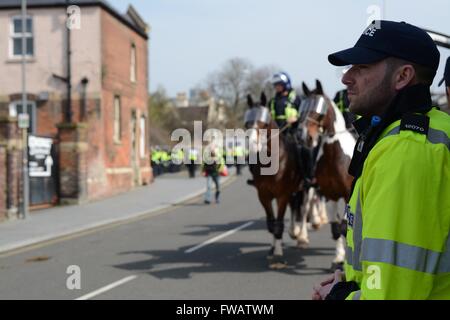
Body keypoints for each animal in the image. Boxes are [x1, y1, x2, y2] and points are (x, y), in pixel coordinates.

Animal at [244, 93, 304, 270]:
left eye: (263, 124)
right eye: (247, 123)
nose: (251, 147)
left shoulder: (282, 195)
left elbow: (279, 223)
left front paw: (278, 254)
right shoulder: (264, 195)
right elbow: (271, 224)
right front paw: (272, 249)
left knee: (300, 209)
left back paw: (299, 234)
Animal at [298, 80, 356, 270]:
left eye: (318, 108)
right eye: (302, 108)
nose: (303, 136)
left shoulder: (348, 195)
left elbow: (346, 227)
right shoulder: (331, 195)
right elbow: (337, 229)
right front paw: (338, 258)